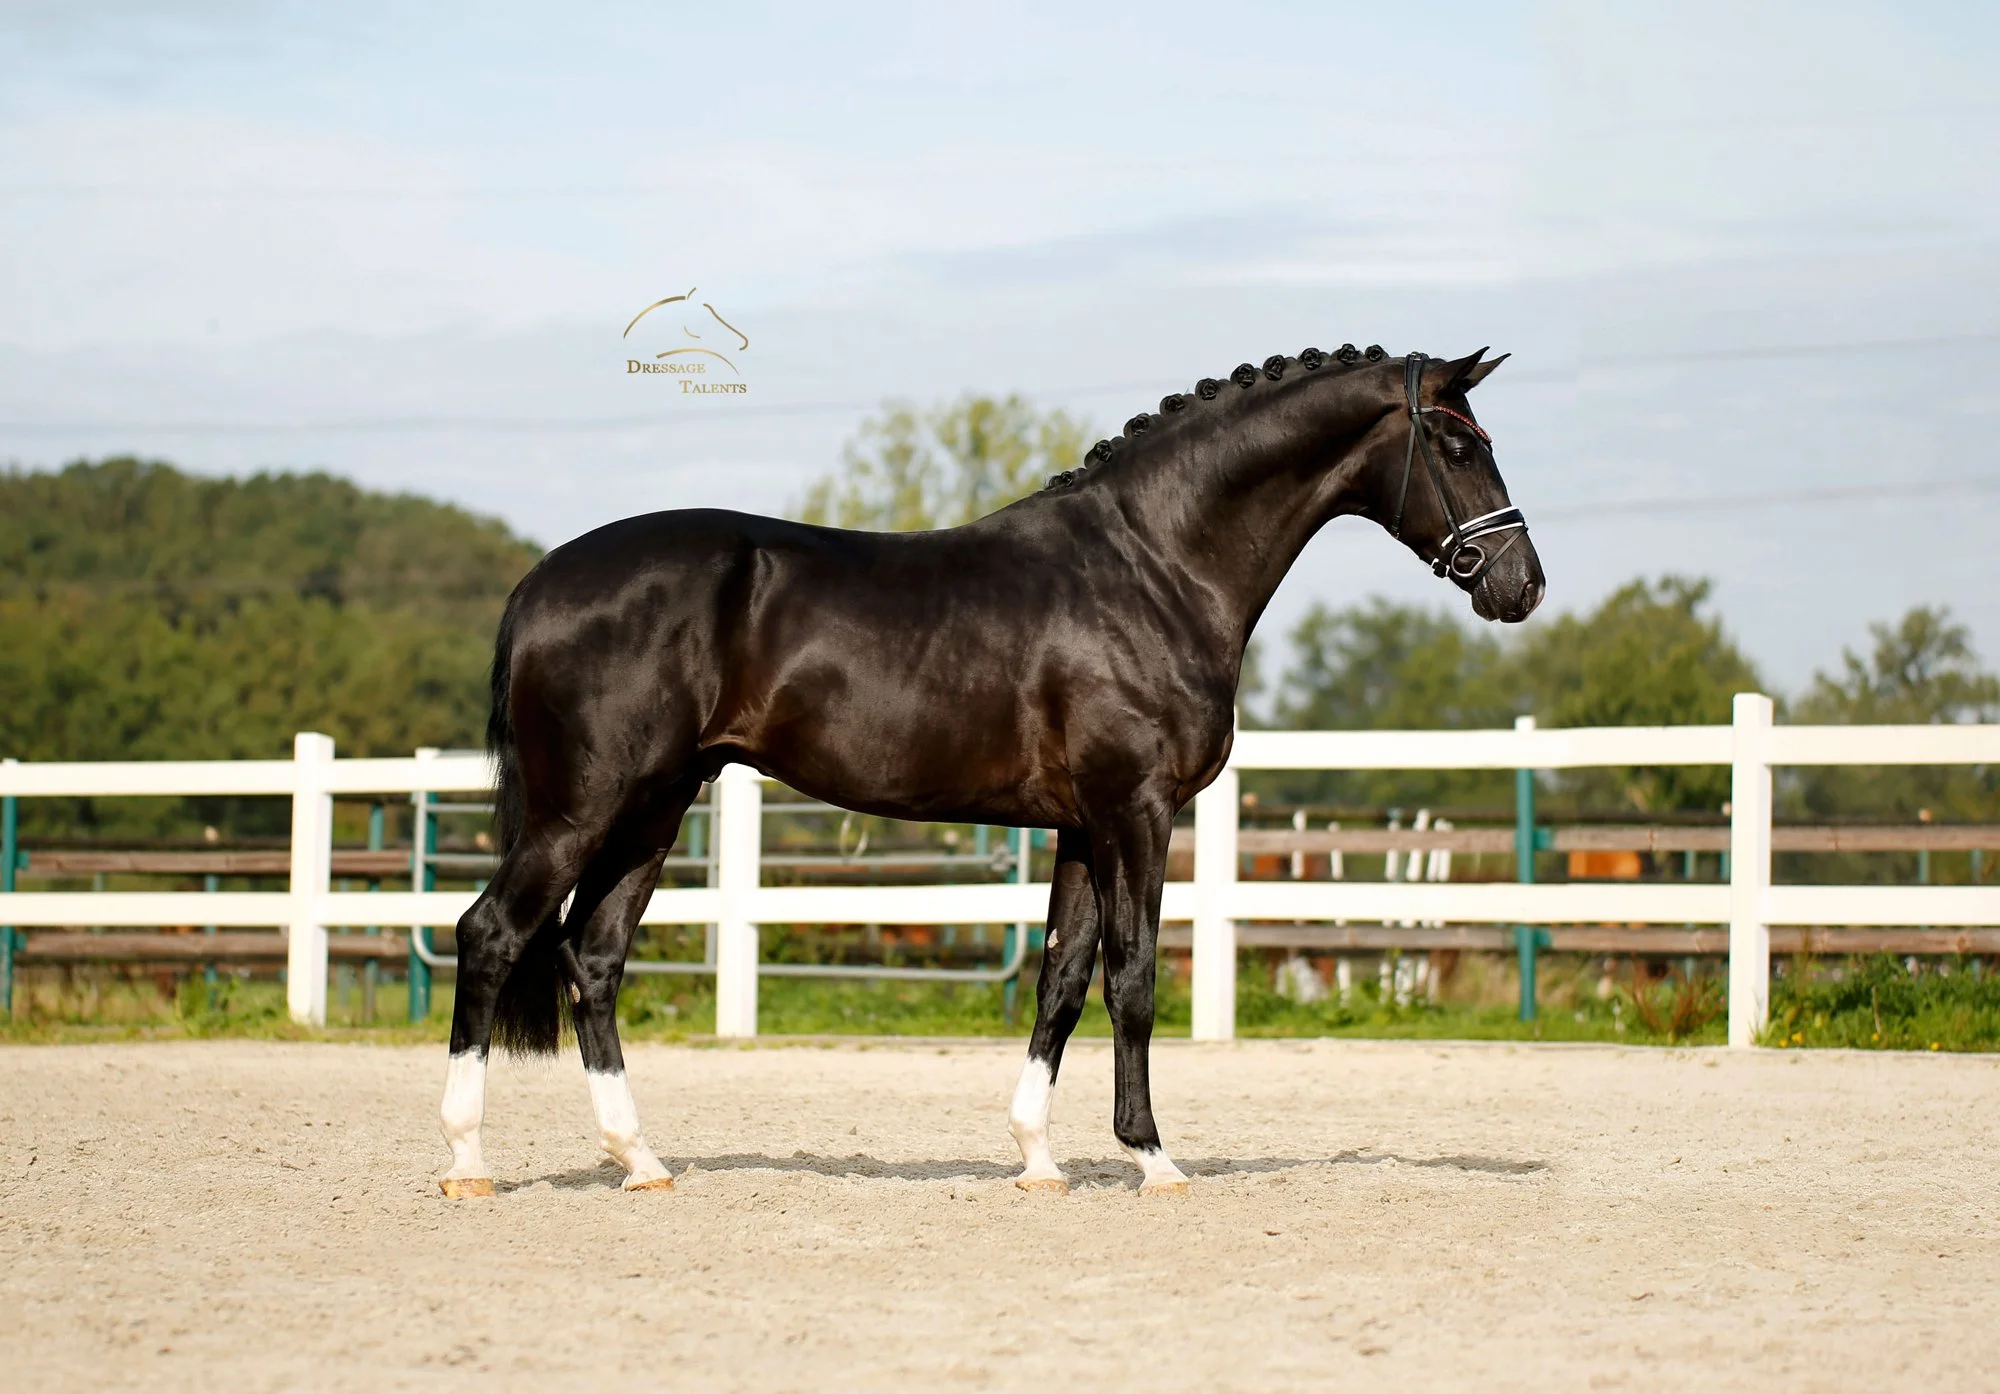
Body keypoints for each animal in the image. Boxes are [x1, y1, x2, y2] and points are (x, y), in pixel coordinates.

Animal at [436, 344, 1545, 1199]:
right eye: (1457, 446)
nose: (1520, 586)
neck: (1154, 566)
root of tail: (540, 582)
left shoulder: (1080, 824)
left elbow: (1061, 975)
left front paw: (1038, 1160)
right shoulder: (1135, 810)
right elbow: (1134, 975)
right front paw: (1152, 1158)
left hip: (653, 808)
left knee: (593, 957)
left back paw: (640, 1161)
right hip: (584, 808)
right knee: (490, 933)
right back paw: (467, 1163)